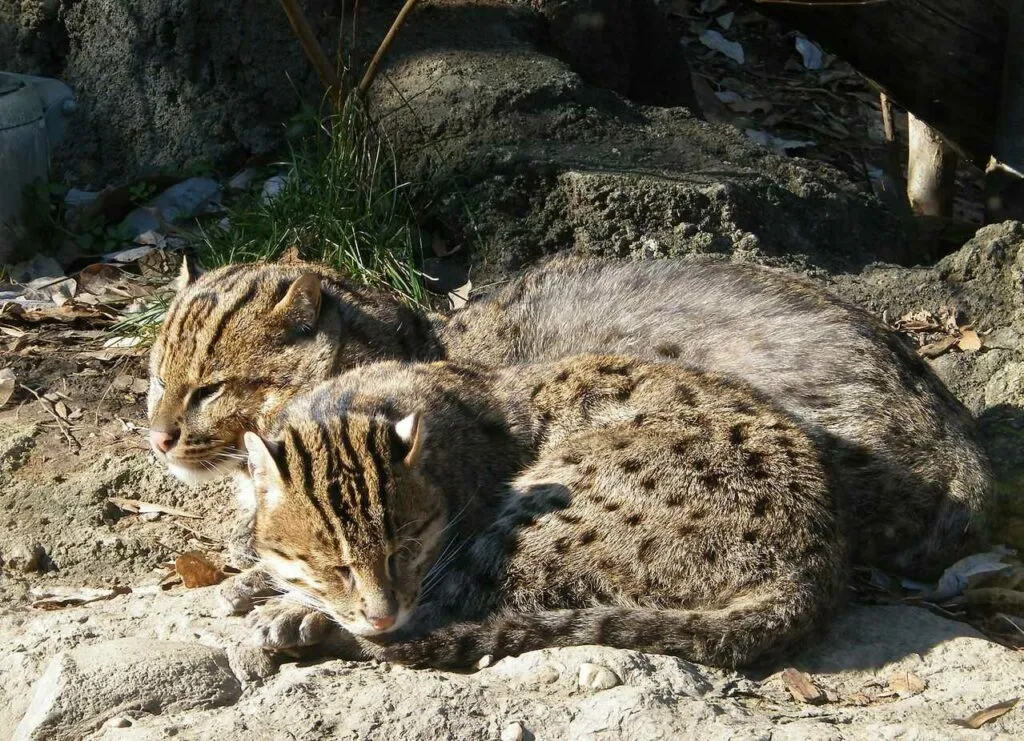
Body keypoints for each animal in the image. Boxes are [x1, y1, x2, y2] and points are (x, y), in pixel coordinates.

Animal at [241, 356, 847, 667]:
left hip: (542, 518)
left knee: (453, 606)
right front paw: (257, 580)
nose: (381, 612)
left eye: (405, 549)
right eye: (336, 566)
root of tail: (815, 565)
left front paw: (288, 605)